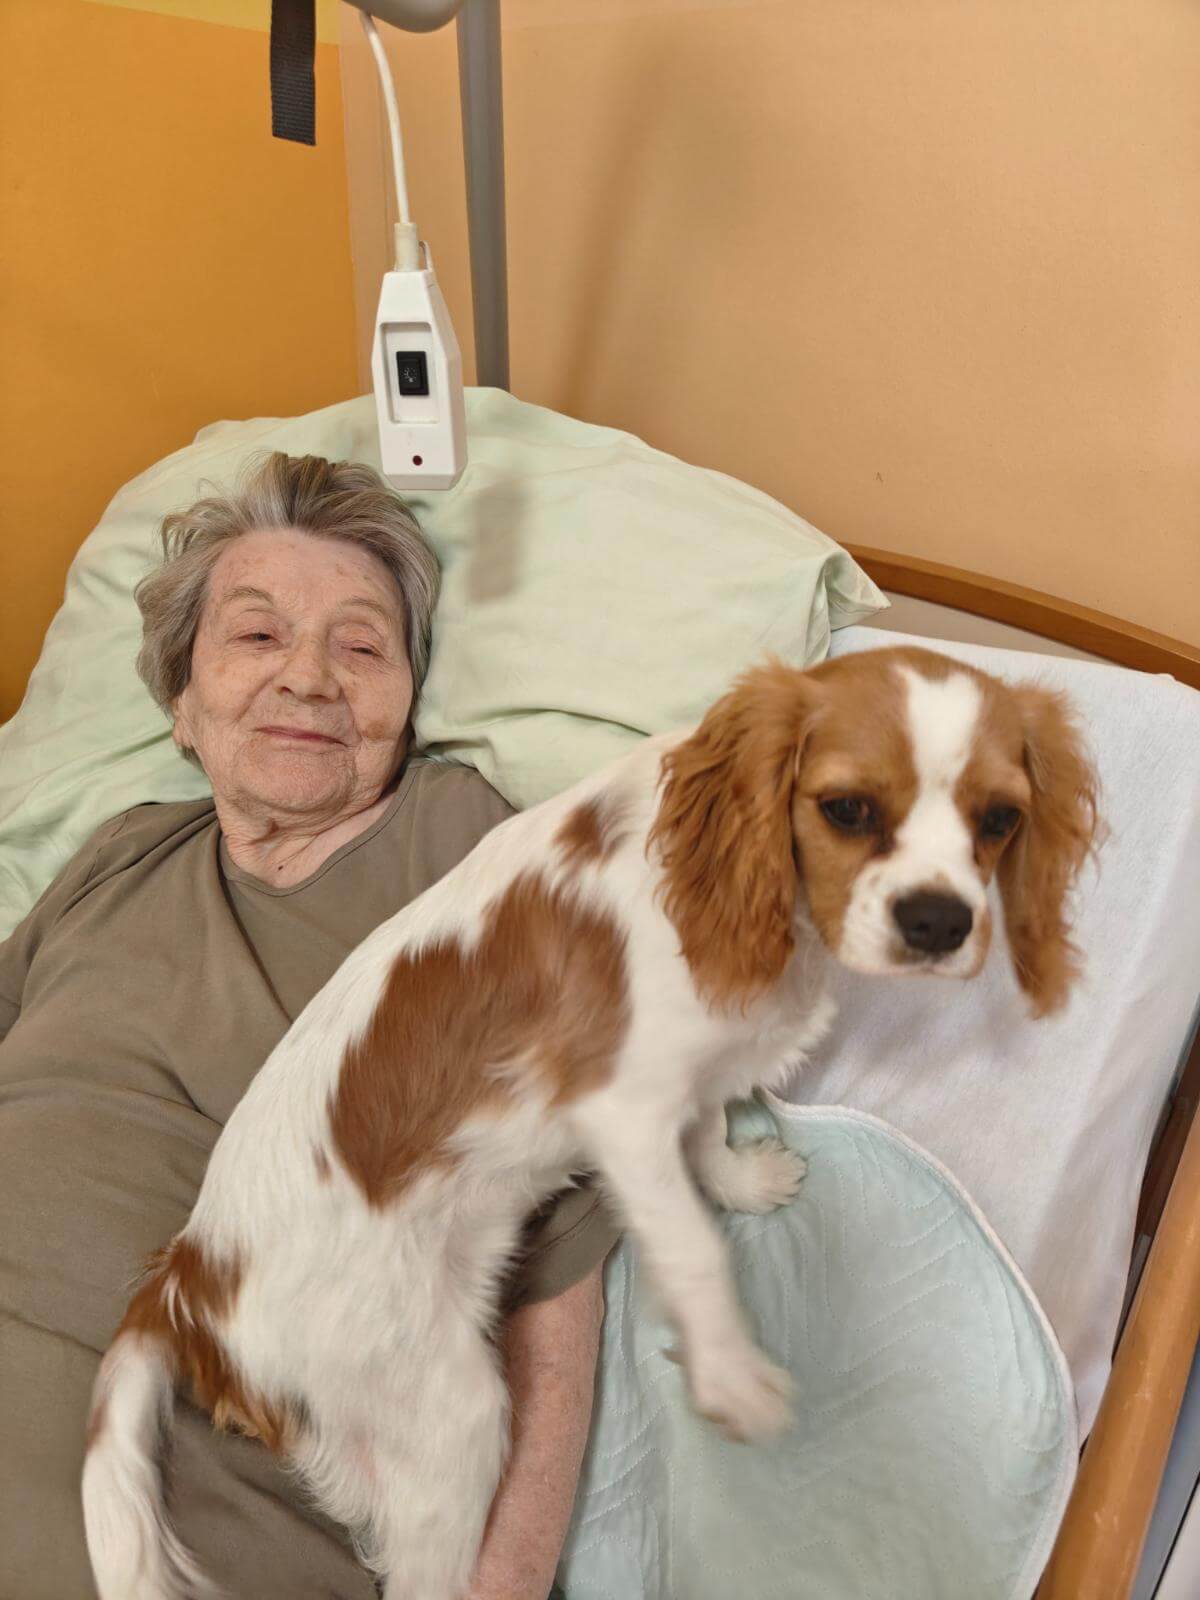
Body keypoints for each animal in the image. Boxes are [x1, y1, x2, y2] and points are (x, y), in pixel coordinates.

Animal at [83, 645, 1099, 1599]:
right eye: (846, 809)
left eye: (1000, 820)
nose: (939, 920)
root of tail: (188, 1278)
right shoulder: (624, 1111)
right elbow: (693, 1245)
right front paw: (730, 1373)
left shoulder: (691, 1076)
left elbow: (708, 1139)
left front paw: (746, 1179)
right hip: (449, 1407)